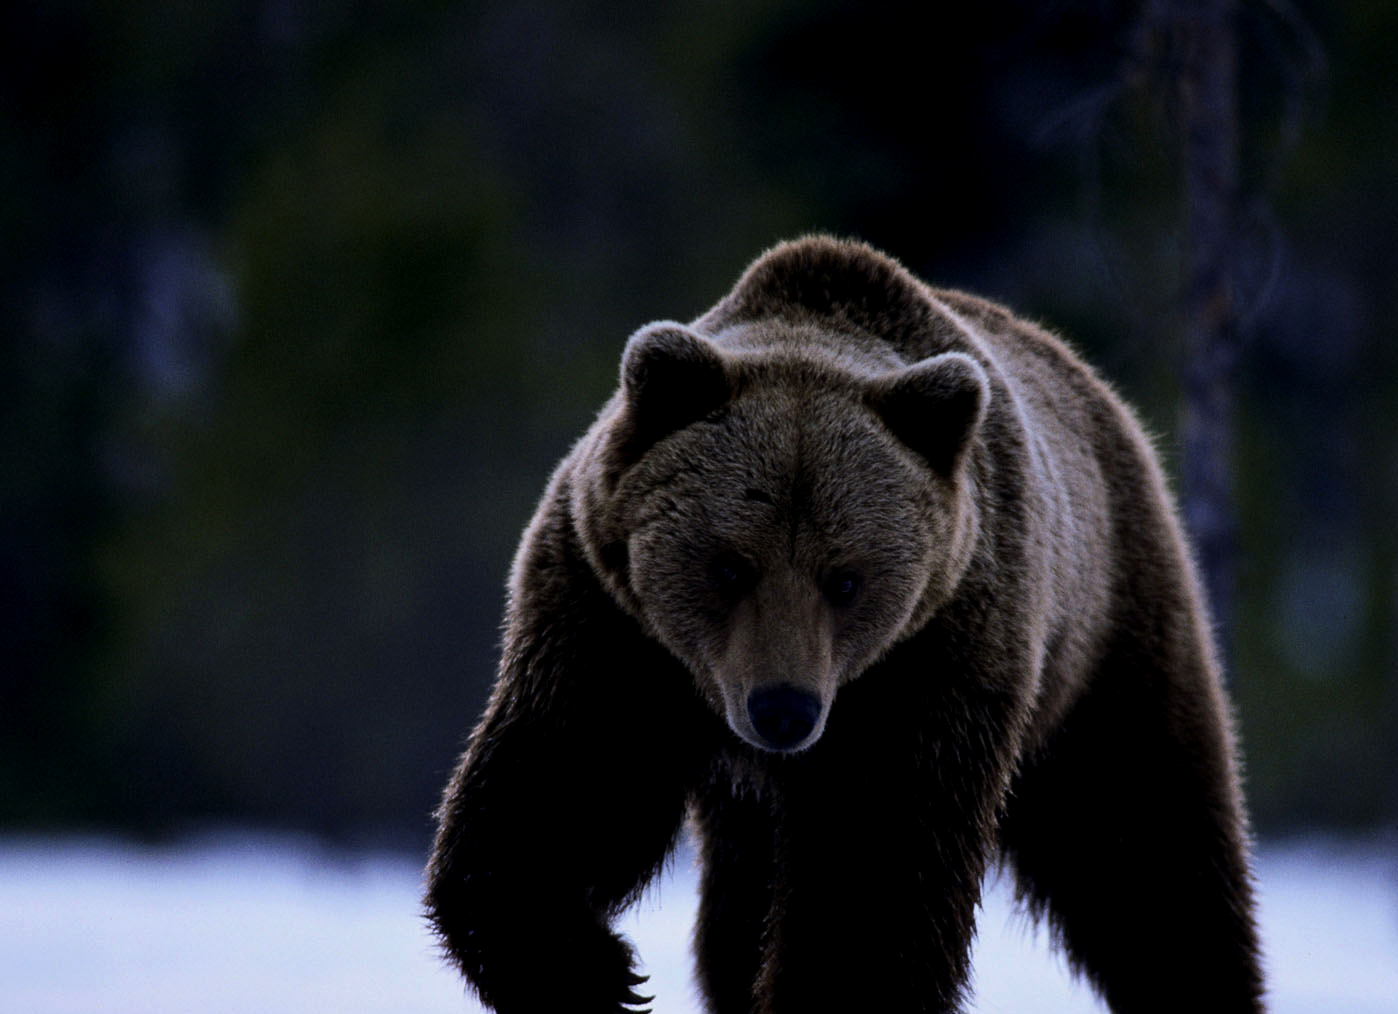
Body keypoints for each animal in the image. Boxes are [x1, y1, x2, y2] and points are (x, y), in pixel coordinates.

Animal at [424, 237, 1269, 1012]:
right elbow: (562, 787)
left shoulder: (932, 664)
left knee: (1146, 855)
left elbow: (874, 881)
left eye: (846, 579)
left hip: (1107, 646)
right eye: (730, 565)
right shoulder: (611, 624)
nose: (783, 709)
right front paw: (594, 970)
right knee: (735, 918)